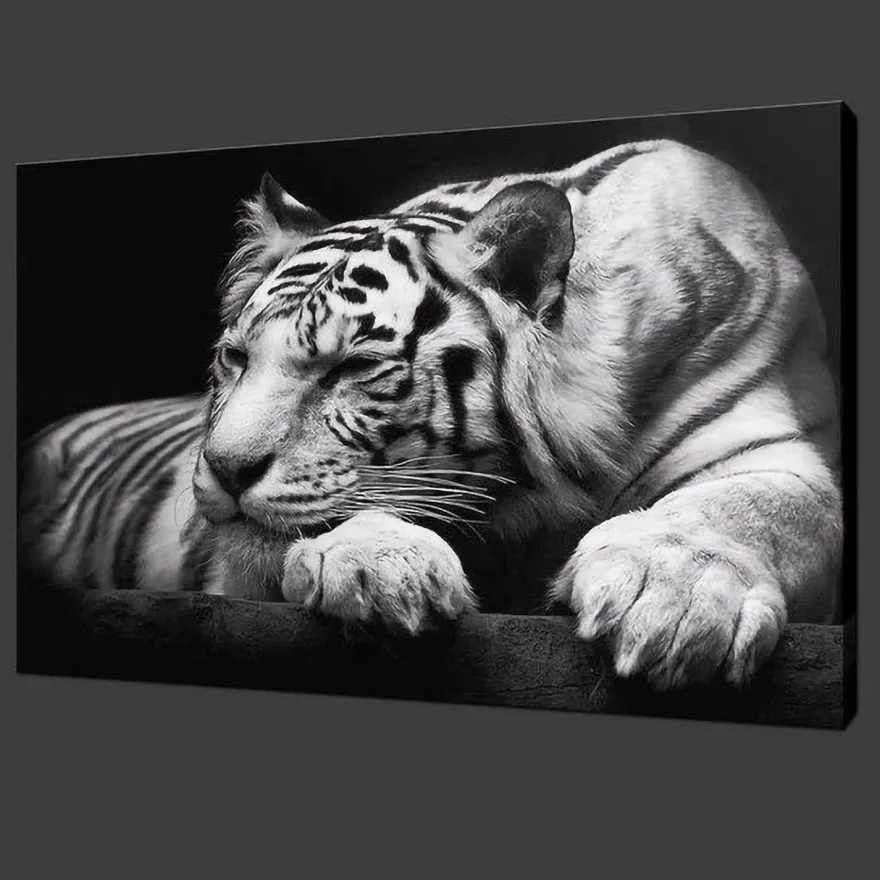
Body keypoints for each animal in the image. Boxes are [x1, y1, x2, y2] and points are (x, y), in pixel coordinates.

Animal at [18, 138, 843, 691]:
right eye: (236, 359)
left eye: (352, 368)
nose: (222, 469)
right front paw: (381, 567)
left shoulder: (770, 443)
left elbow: (753, 508)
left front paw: (673, 601)